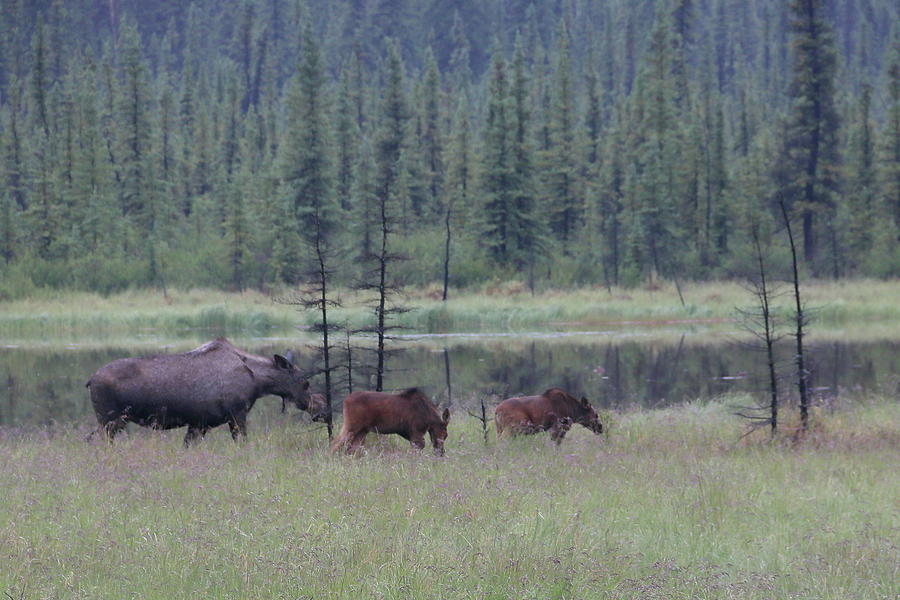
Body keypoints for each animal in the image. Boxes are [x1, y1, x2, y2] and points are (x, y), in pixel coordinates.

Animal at [85, 338, 310, 446]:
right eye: (305, 382)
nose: (309, 404)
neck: (257, 381)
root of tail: (90, 380)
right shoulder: (236, 415)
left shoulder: (198, 424)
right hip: (111, 420)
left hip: (110, 421)